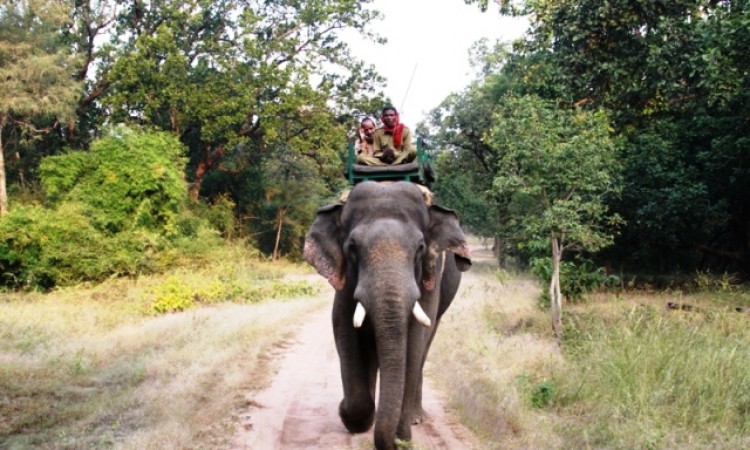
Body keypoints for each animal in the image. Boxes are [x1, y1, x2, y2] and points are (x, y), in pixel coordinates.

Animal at [303, 181, 471, 450]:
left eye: (420, 247)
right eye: (352, 247)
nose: (397, 442)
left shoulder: (429, 278)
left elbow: (414, 341)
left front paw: (402, 437)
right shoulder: (345, 280)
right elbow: (344, 329)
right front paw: (353, 417)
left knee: (425, 346)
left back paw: (415, 418)